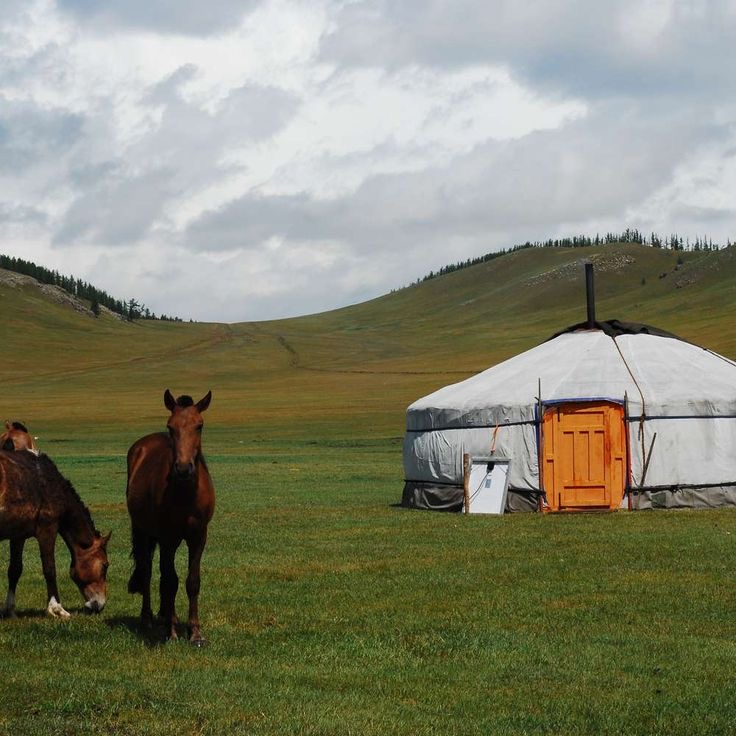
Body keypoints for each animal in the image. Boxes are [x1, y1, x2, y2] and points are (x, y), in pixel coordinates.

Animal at [0, 452, 109, 620]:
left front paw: (10, 610)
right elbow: (50, 569)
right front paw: (56, 609)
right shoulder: (47, 529)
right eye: (105, 565)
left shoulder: (18, 535)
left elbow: (15, 570)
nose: (100, 605)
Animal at [125, 388, 213, 640]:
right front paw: (172, 632)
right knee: (148, 570)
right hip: (143, 531)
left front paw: (195, 632)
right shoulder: (168, 538)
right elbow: (170, 580)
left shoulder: (198, 537)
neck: (185, 494)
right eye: (170, 426)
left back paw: (165, 614)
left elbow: (192, 581)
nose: (183, 469)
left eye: (199, 425)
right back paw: (148, 618)